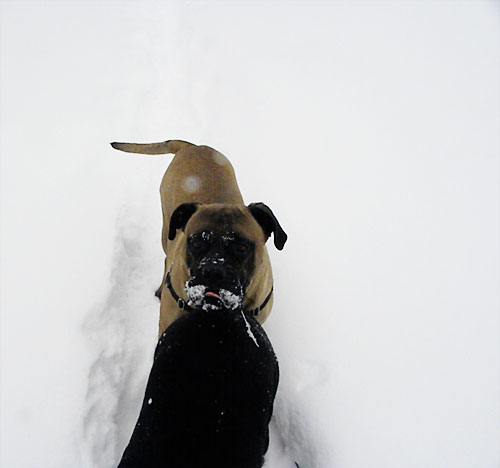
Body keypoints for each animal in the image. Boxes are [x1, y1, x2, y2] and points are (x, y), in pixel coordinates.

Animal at [111, 139, 288, 336]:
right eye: (196, 243)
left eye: (241, 248)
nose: (213, 271)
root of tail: (192, 146)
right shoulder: (166, 326)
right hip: (166, 229)